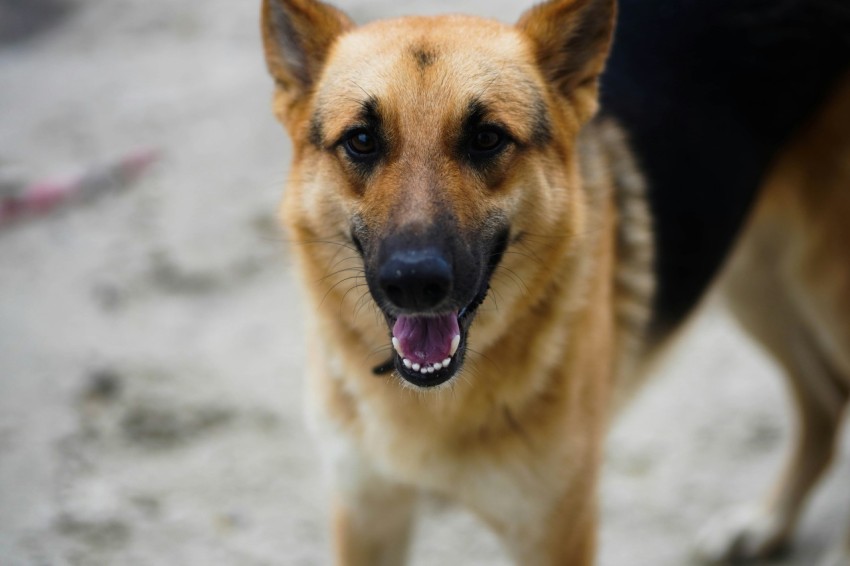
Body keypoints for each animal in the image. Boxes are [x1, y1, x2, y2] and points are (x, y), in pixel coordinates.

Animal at [258, 0, 848, 564]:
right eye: (361, 141)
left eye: (486, 138)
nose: (414, 283)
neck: (438, 402)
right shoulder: (368, 513)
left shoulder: (554, 532)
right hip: (754, 281)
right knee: (824, 399)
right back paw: (767, 522)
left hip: (821, 291)